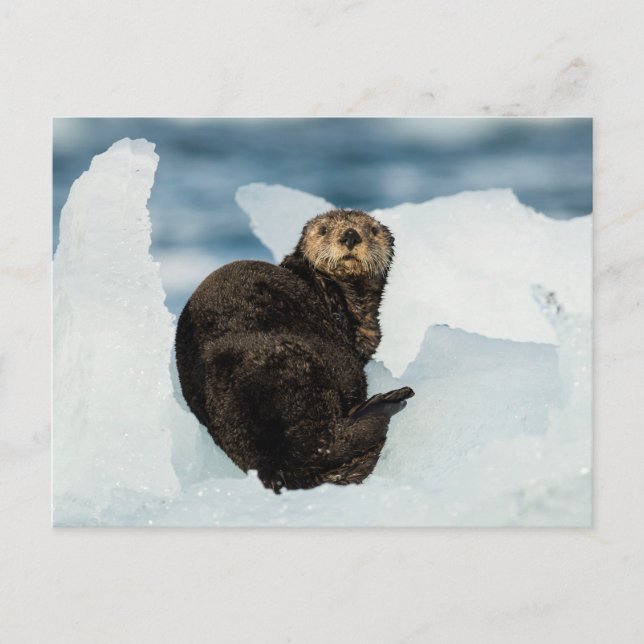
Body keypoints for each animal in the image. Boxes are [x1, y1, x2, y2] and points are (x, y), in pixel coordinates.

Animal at [175, 209, 414, 492]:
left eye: (372, 230)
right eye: (323, 230)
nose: (350, 235)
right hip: (308, 369)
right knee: (326, 443)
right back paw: (388, 402)